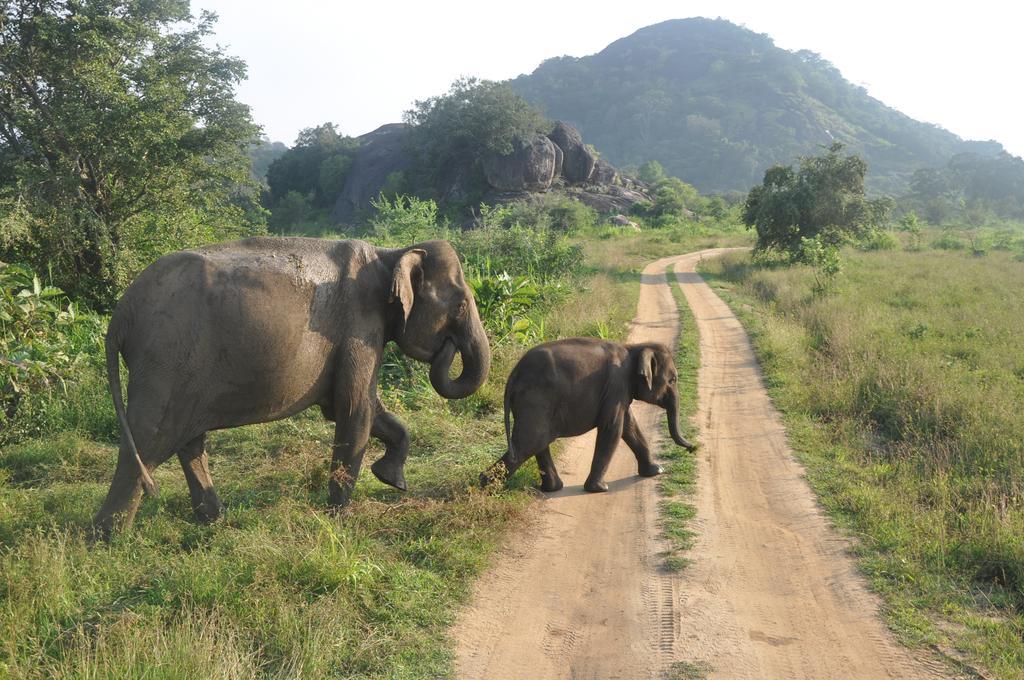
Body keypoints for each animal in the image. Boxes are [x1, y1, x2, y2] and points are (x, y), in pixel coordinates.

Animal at [94, 238, 489, 536]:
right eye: (460, 305)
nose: (449, 349)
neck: (389, 254)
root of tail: (120, 315)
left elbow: (365, 410)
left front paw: (391, 480)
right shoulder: (359, 327)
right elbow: (354, 409)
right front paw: (339, 518)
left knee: (187, 442)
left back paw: (214, 522)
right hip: (165, 360)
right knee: (147, 441)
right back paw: (109, 538)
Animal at [479, 335, 696, 491]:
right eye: (673, 380)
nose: (693, 448)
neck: (634, 347)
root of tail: (513, 375)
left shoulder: (618, 392)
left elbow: (629, 426)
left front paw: (656, 471)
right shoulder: (616, 386)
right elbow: (612, 429)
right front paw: (600, 489)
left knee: (538, 442)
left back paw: (552, 488)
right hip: (535, 400)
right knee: (528, 443)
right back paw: (486, 487)